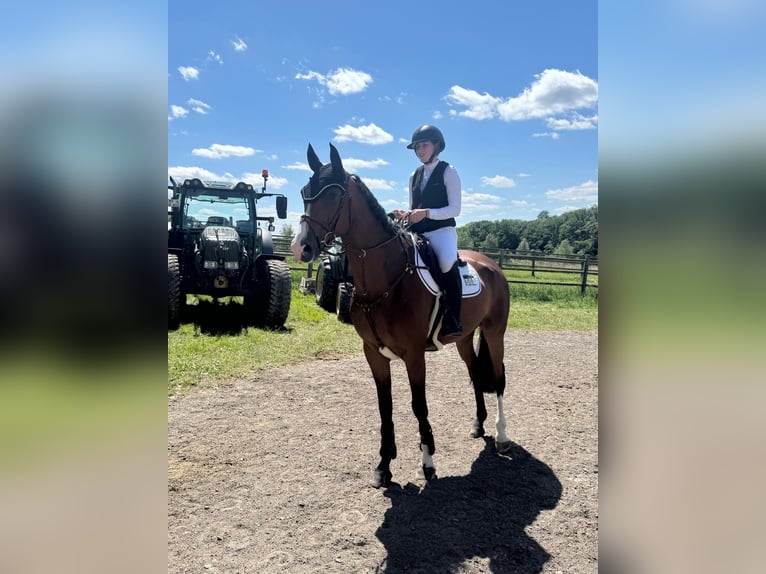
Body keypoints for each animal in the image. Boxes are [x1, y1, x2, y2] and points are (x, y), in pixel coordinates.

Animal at [291, 143, 511, 488]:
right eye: (304, 193)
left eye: (334, 195)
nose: (300, 247)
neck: (387, 279)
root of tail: (492, 266)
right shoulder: (373, 353)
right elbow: (386, 407)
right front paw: (383, 466)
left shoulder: (414, 355)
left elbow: (418, 405)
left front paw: (428, 461)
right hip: (464, 337)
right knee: (476, 372)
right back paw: (478, 425)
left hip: (494, 332)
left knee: (499, 378)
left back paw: (502, 437)